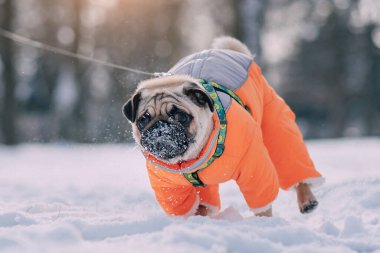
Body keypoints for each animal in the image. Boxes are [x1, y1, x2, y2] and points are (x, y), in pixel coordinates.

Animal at [121, 36, 324, 217]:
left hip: (277, 126)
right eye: (143, 120)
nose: (160, 128)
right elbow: (188, 209)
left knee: (294, 163)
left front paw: (263, 223)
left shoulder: (254, 171)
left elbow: (262, 204)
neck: (192, 160)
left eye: (181, 116)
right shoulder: (171, 190)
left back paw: (306, 200)